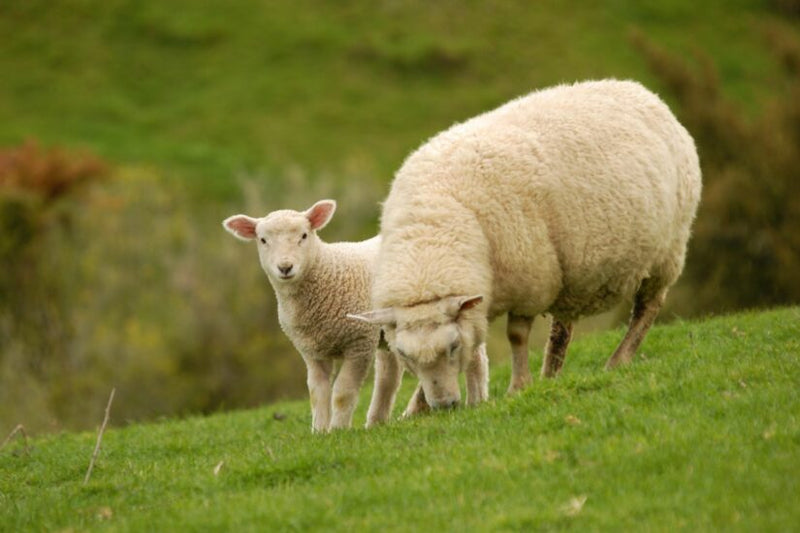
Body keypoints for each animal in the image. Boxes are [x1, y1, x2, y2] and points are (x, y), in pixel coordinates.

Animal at [223, 202, 400, 430]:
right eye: (263, 240)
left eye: (304, 235)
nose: (285, 267)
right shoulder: (312, 352)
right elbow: (317, 393)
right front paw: (320, 431)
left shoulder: (359, 343)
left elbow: (342, 393)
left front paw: (338, 429)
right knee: (390, 373)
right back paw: (380, 420)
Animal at [354, 79, 704, 410]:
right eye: (404, 355)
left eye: (452, 347)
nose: (445, 405)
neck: (432, 227)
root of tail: (643, 92)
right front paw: (417, 408)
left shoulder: (530, 282)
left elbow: (517, 336)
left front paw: (518, 386)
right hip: (571, 271)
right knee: (563, 328)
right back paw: (551, 375)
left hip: (666, 252)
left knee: (647, 307)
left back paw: (619, 359)